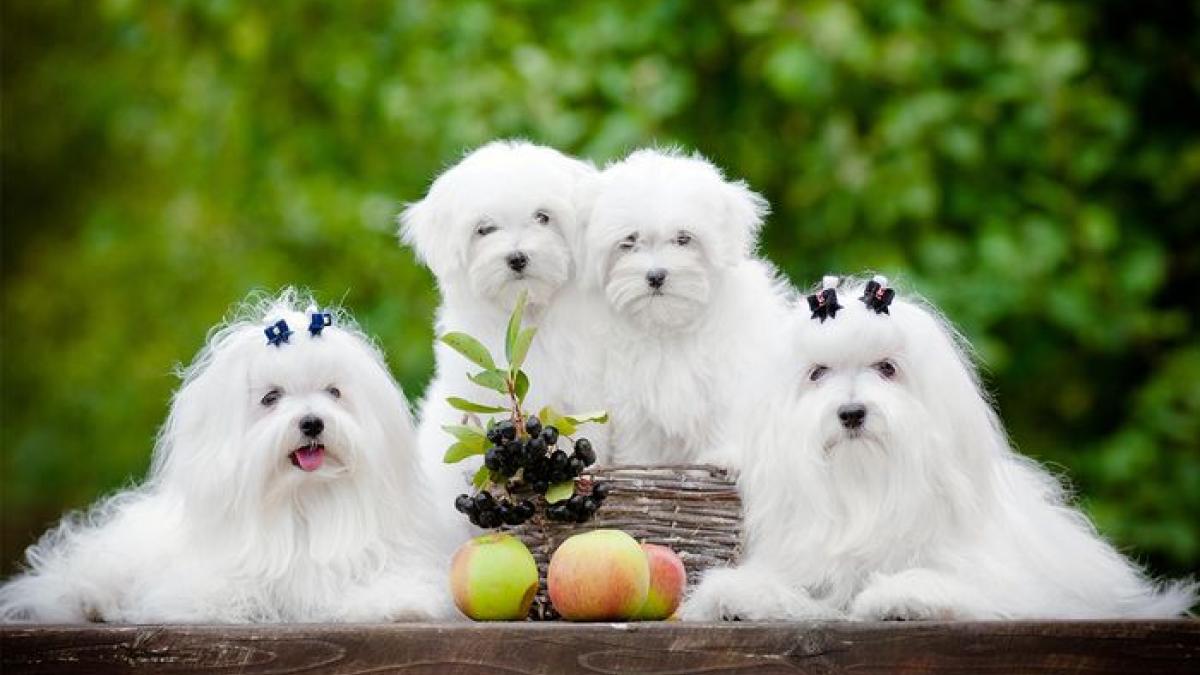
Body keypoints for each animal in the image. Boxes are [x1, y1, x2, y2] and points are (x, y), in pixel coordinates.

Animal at [576, 147, 792, 466]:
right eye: (629, 241)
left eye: (684, 238)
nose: (655, 276)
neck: (671, 326)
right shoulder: (636, 402)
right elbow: (641, 445)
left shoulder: (733, 376)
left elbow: (728, 417)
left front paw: (723, 455)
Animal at [681, 276, 1195, 619]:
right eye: (818, 373)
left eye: (887, 368)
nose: (852, 412)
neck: (866, 490)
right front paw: (740, 596)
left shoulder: (995, 579)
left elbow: (954, 584)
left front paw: (900, 597)